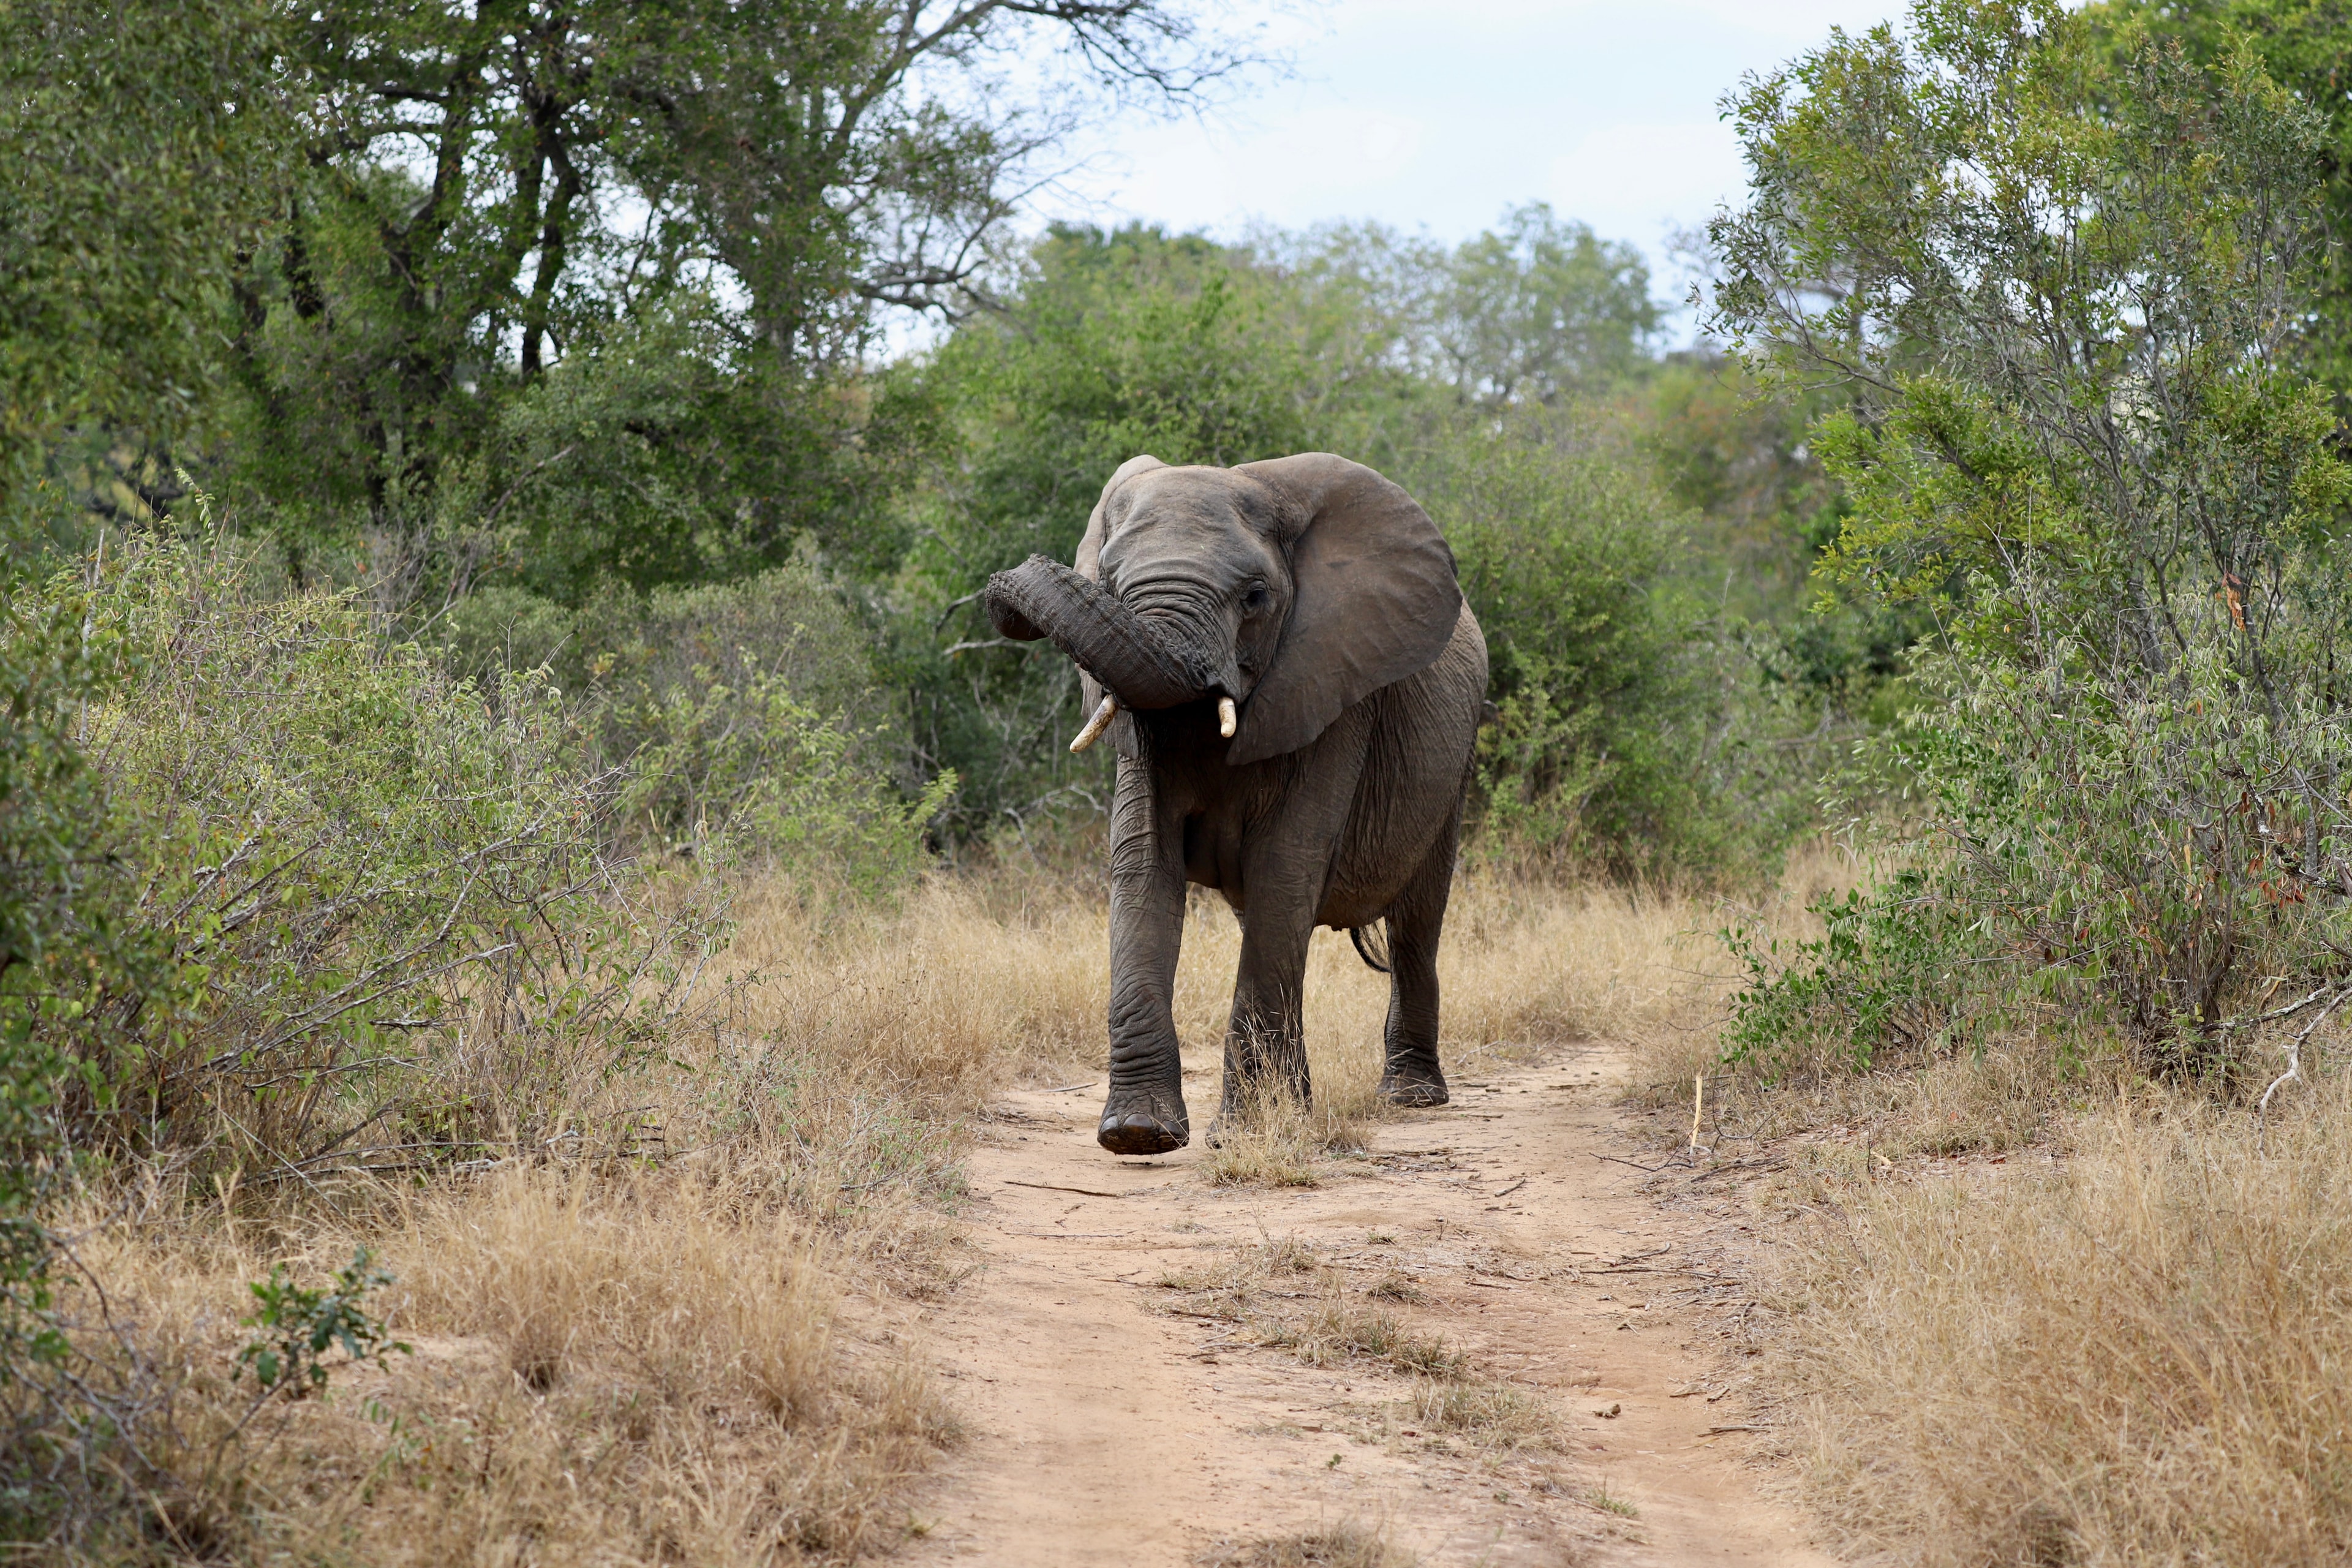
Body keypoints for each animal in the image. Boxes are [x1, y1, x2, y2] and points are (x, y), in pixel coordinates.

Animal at [978, 447, 1486, 1161]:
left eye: (1255, 597)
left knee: (1415, 921)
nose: (1004, 598)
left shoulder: (1331, 690)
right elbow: (1144, 870)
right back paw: (1299, 1106)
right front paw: (1138, 1135)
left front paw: (1243, 1133)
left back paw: (1409, 1097)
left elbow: (1285, 866)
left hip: (1455, 763)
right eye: (1108, 578)